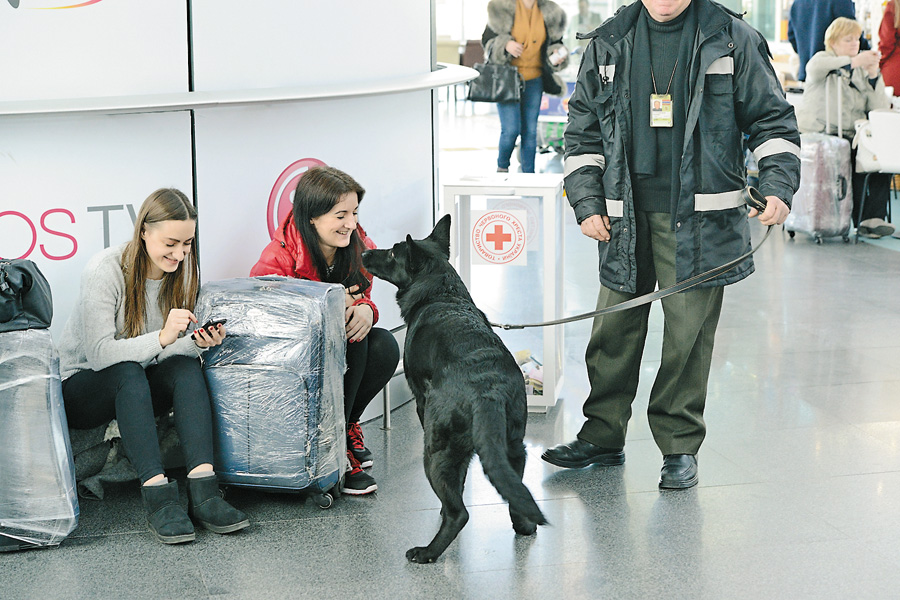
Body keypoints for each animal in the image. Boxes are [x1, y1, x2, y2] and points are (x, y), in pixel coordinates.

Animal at [360, 214, 544, 564]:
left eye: (391, 252)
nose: (363, 252)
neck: (443, 294)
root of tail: (487, 390)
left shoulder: (421, 403)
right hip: (515, 447)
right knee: (515, 491)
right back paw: (524, 524)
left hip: (435, 451)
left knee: (459, 513)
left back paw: (428, 551)